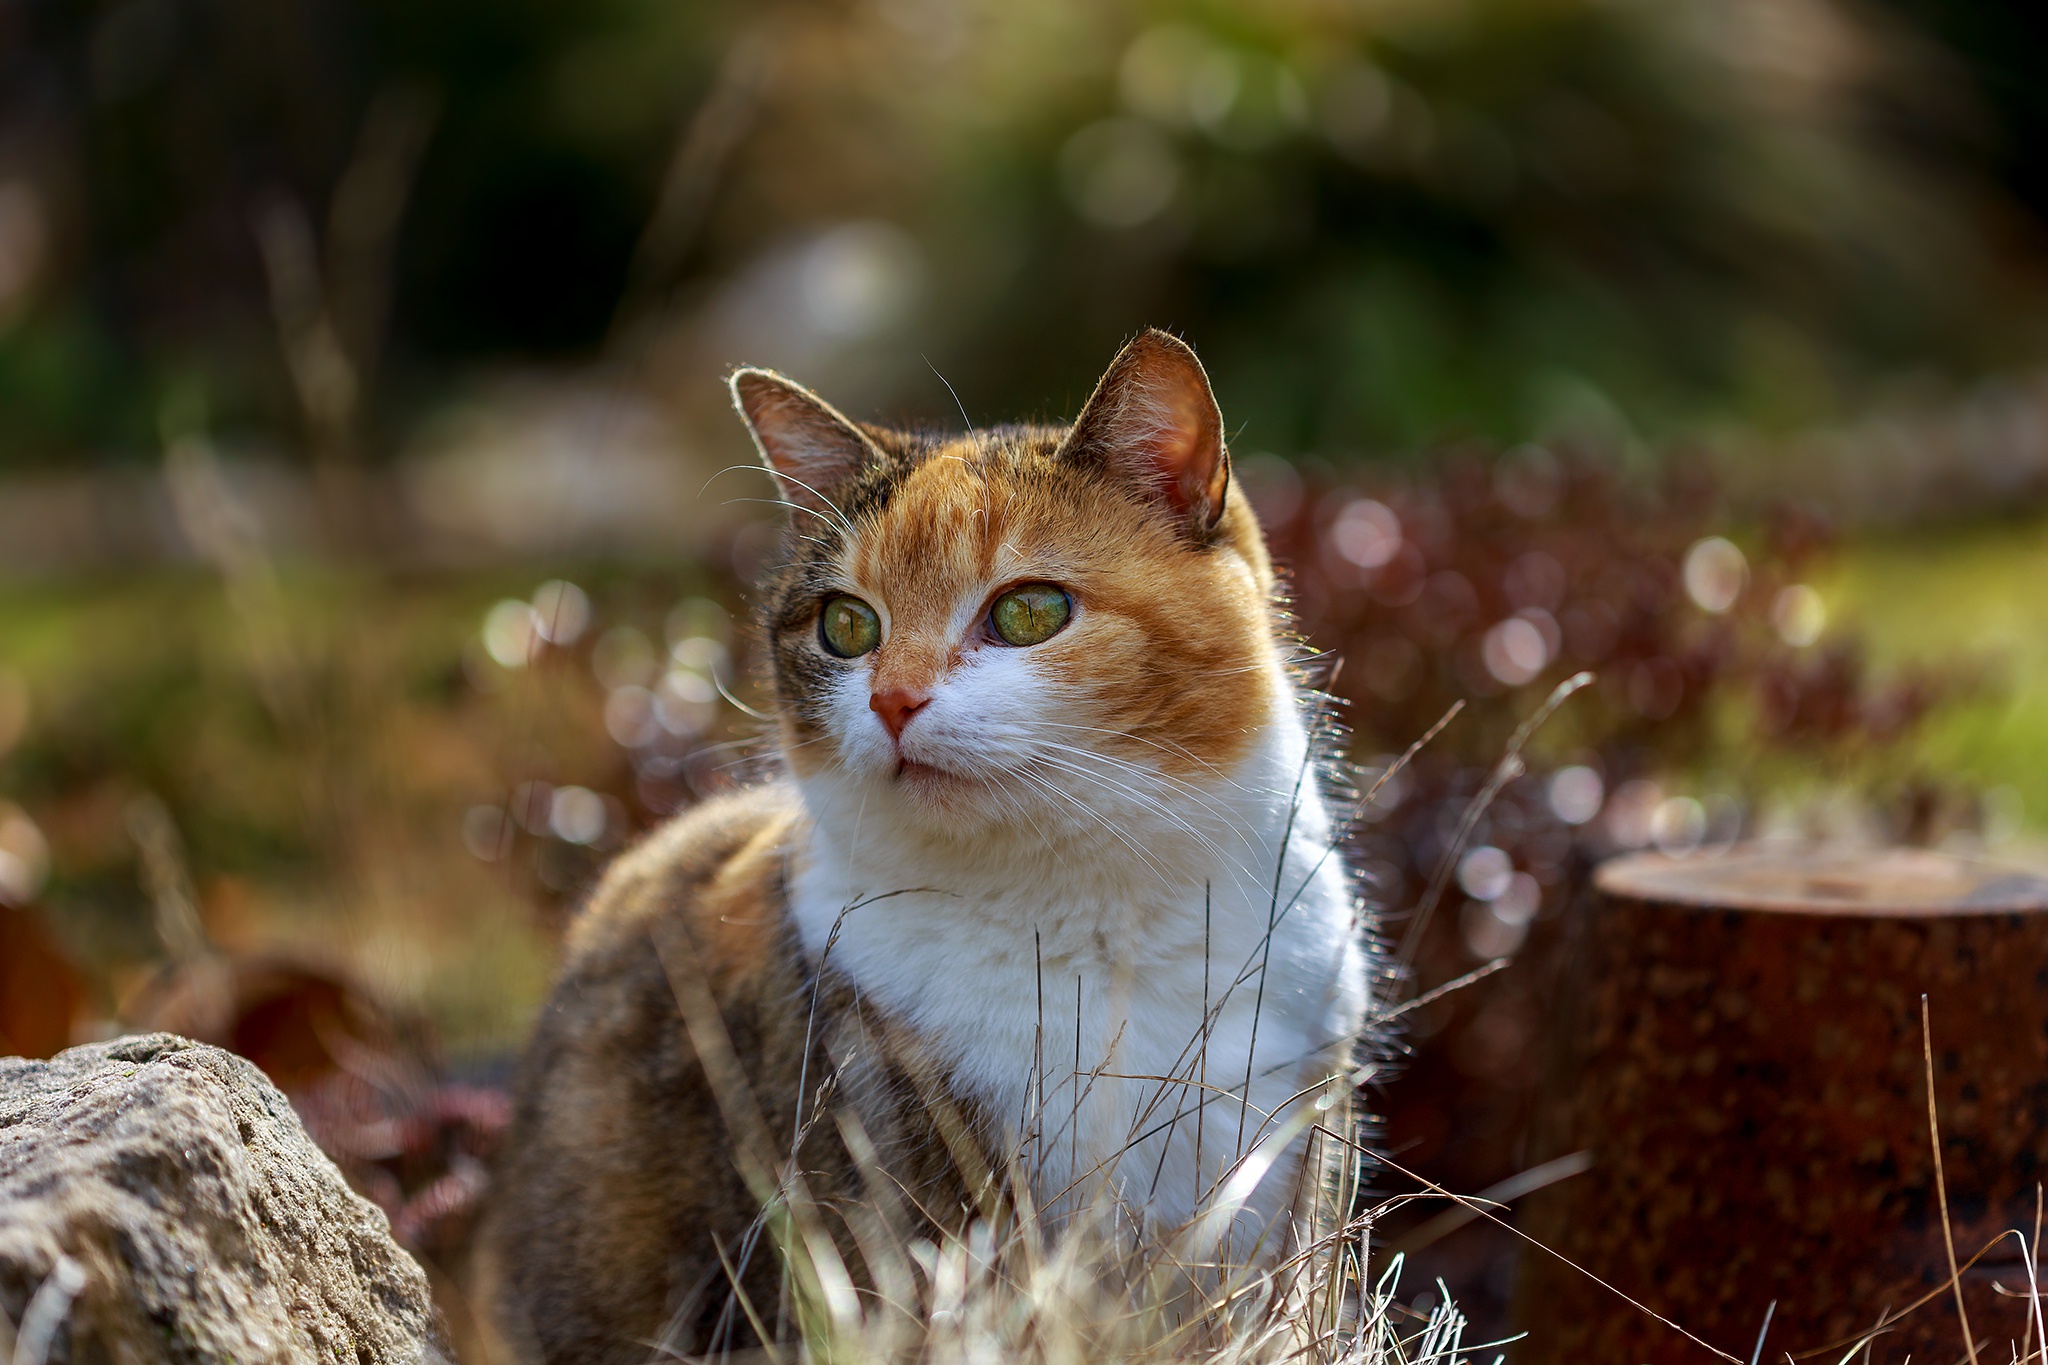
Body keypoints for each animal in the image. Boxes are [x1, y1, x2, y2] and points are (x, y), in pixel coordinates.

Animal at [479, 333, 1376, 1365]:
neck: (1090, 911)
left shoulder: (1291, 1147)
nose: (893, 699)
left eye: (1029, 611)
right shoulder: (885, 1173)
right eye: (846, 624)